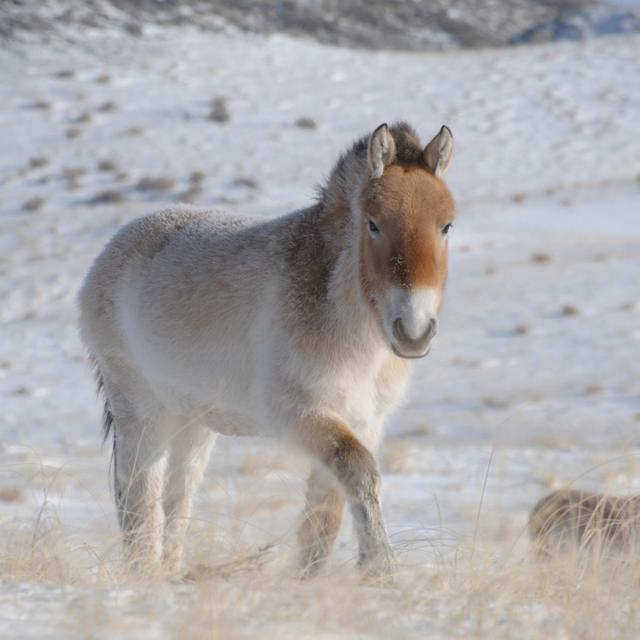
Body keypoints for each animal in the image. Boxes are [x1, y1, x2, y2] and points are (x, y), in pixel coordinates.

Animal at [78, 121, 455, 579]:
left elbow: (325, 515)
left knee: (177, 500)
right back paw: (145, 575)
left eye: (446, 226)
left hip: (194, 423)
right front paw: (380, 568)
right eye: (374, 224)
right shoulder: (301, 415)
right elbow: (360, 472)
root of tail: (111, 252)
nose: (414, 331)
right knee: (139, 498)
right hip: (140, 408)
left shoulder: (362, 421)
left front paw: (312, 580)